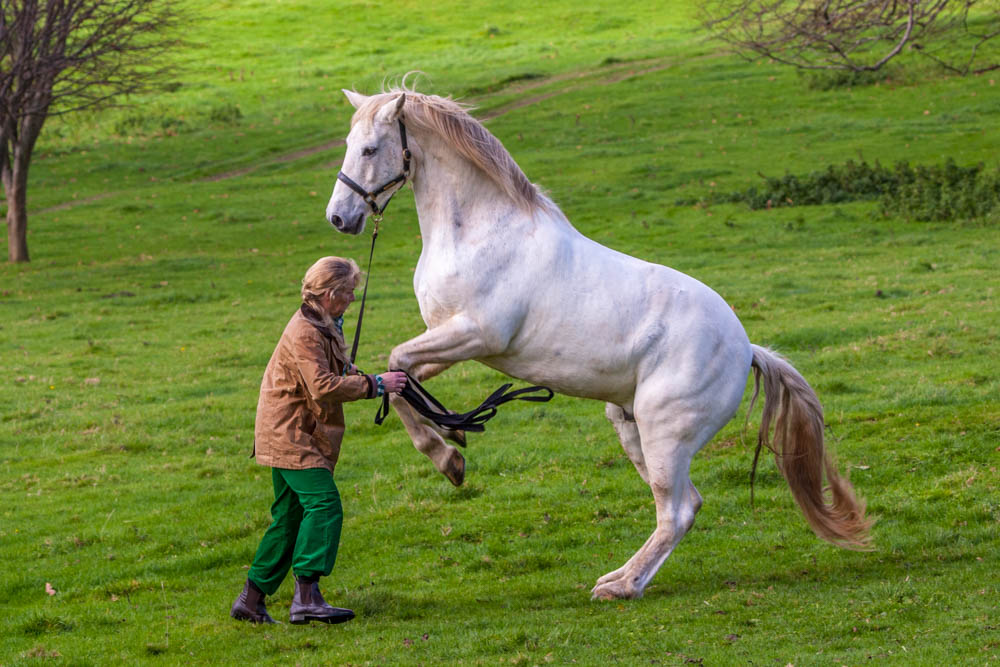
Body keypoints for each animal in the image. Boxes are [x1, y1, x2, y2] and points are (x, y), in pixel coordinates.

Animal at [324, 86, 872, 604]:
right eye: (348, 145)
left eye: (370, 148)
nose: (339, 218)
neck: (478, 230)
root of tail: (747, 349)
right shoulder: (449, 341)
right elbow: (400, 377)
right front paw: (453, 435)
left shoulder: (476, 334)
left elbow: (398, 363)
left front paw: (448, 460)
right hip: (631, 427)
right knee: (682, 504)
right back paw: (623, 577)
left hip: (664, 432)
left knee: (677, 510)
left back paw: (620, 587)